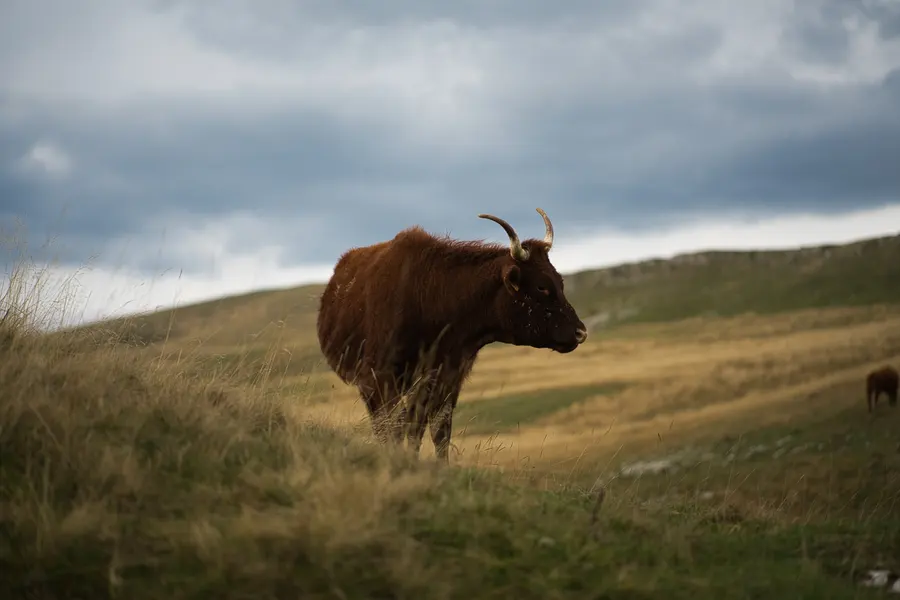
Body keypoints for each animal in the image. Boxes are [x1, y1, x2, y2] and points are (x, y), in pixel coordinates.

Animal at [316, 208, 588, 462]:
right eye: (542, 286)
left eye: (560, 282)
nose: (581, 332)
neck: (434, 298)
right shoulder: (382, 377)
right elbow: (398, 426)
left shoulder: (447, 379)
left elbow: (437, 430)